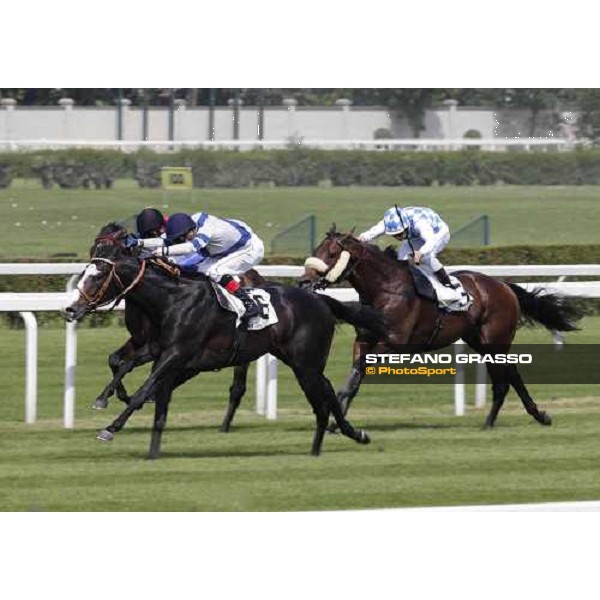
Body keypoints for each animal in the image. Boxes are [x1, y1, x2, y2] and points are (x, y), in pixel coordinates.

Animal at [63, 226, 384, 460]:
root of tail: (319, 299)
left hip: (306, 363)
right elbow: (127, 370)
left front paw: (111, 428)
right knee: (326, 391)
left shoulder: (174, 354)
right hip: (296, 360)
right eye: (87, 268)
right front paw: (107, 401)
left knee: (324, 392)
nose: (71, 309)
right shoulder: (155, 350)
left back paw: (338, 436)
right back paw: (335, 439)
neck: (171, 298)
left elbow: (143, 390)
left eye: (99, 274)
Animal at [302, 225, 584, 426]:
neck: (386, 289)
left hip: (495, 340)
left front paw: (335, 419)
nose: (304, 281)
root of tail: (503, 285)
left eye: (331, 253)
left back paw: (498, 421)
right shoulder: (364, 340)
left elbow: (358, 372)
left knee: (506, 378)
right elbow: (355, 376)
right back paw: (526, 417)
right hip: (479, 340)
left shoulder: (392, 343)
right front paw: (337, 420)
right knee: (510, 376)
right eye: (316, 249)